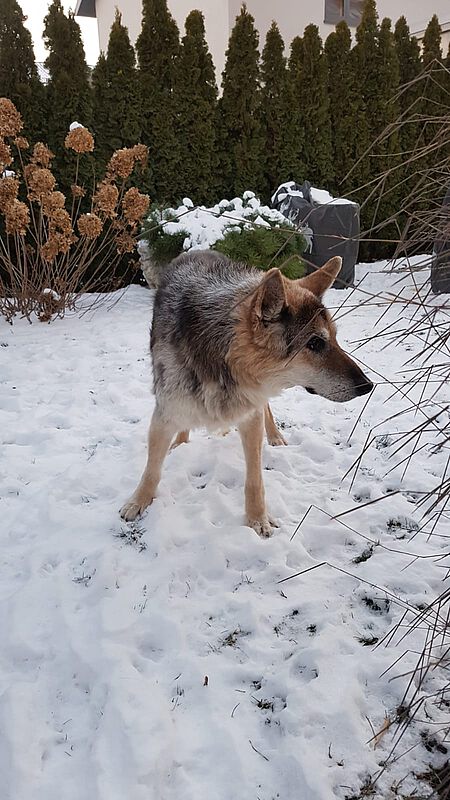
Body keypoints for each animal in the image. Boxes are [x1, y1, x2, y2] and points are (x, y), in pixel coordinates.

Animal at [119, 250, 372, 536]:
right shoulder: (164, 414)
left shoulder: (250, 415)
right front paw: (138, 501)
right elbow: (152, 469)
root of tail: (198, 250)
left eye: (335, 339)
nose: (368, 385)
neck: (223, 359)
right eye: (316, 343)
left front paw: (257, 519)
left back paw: (275, 437)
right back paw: (181, 441)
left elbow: (255, 480)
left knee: (267, 410)